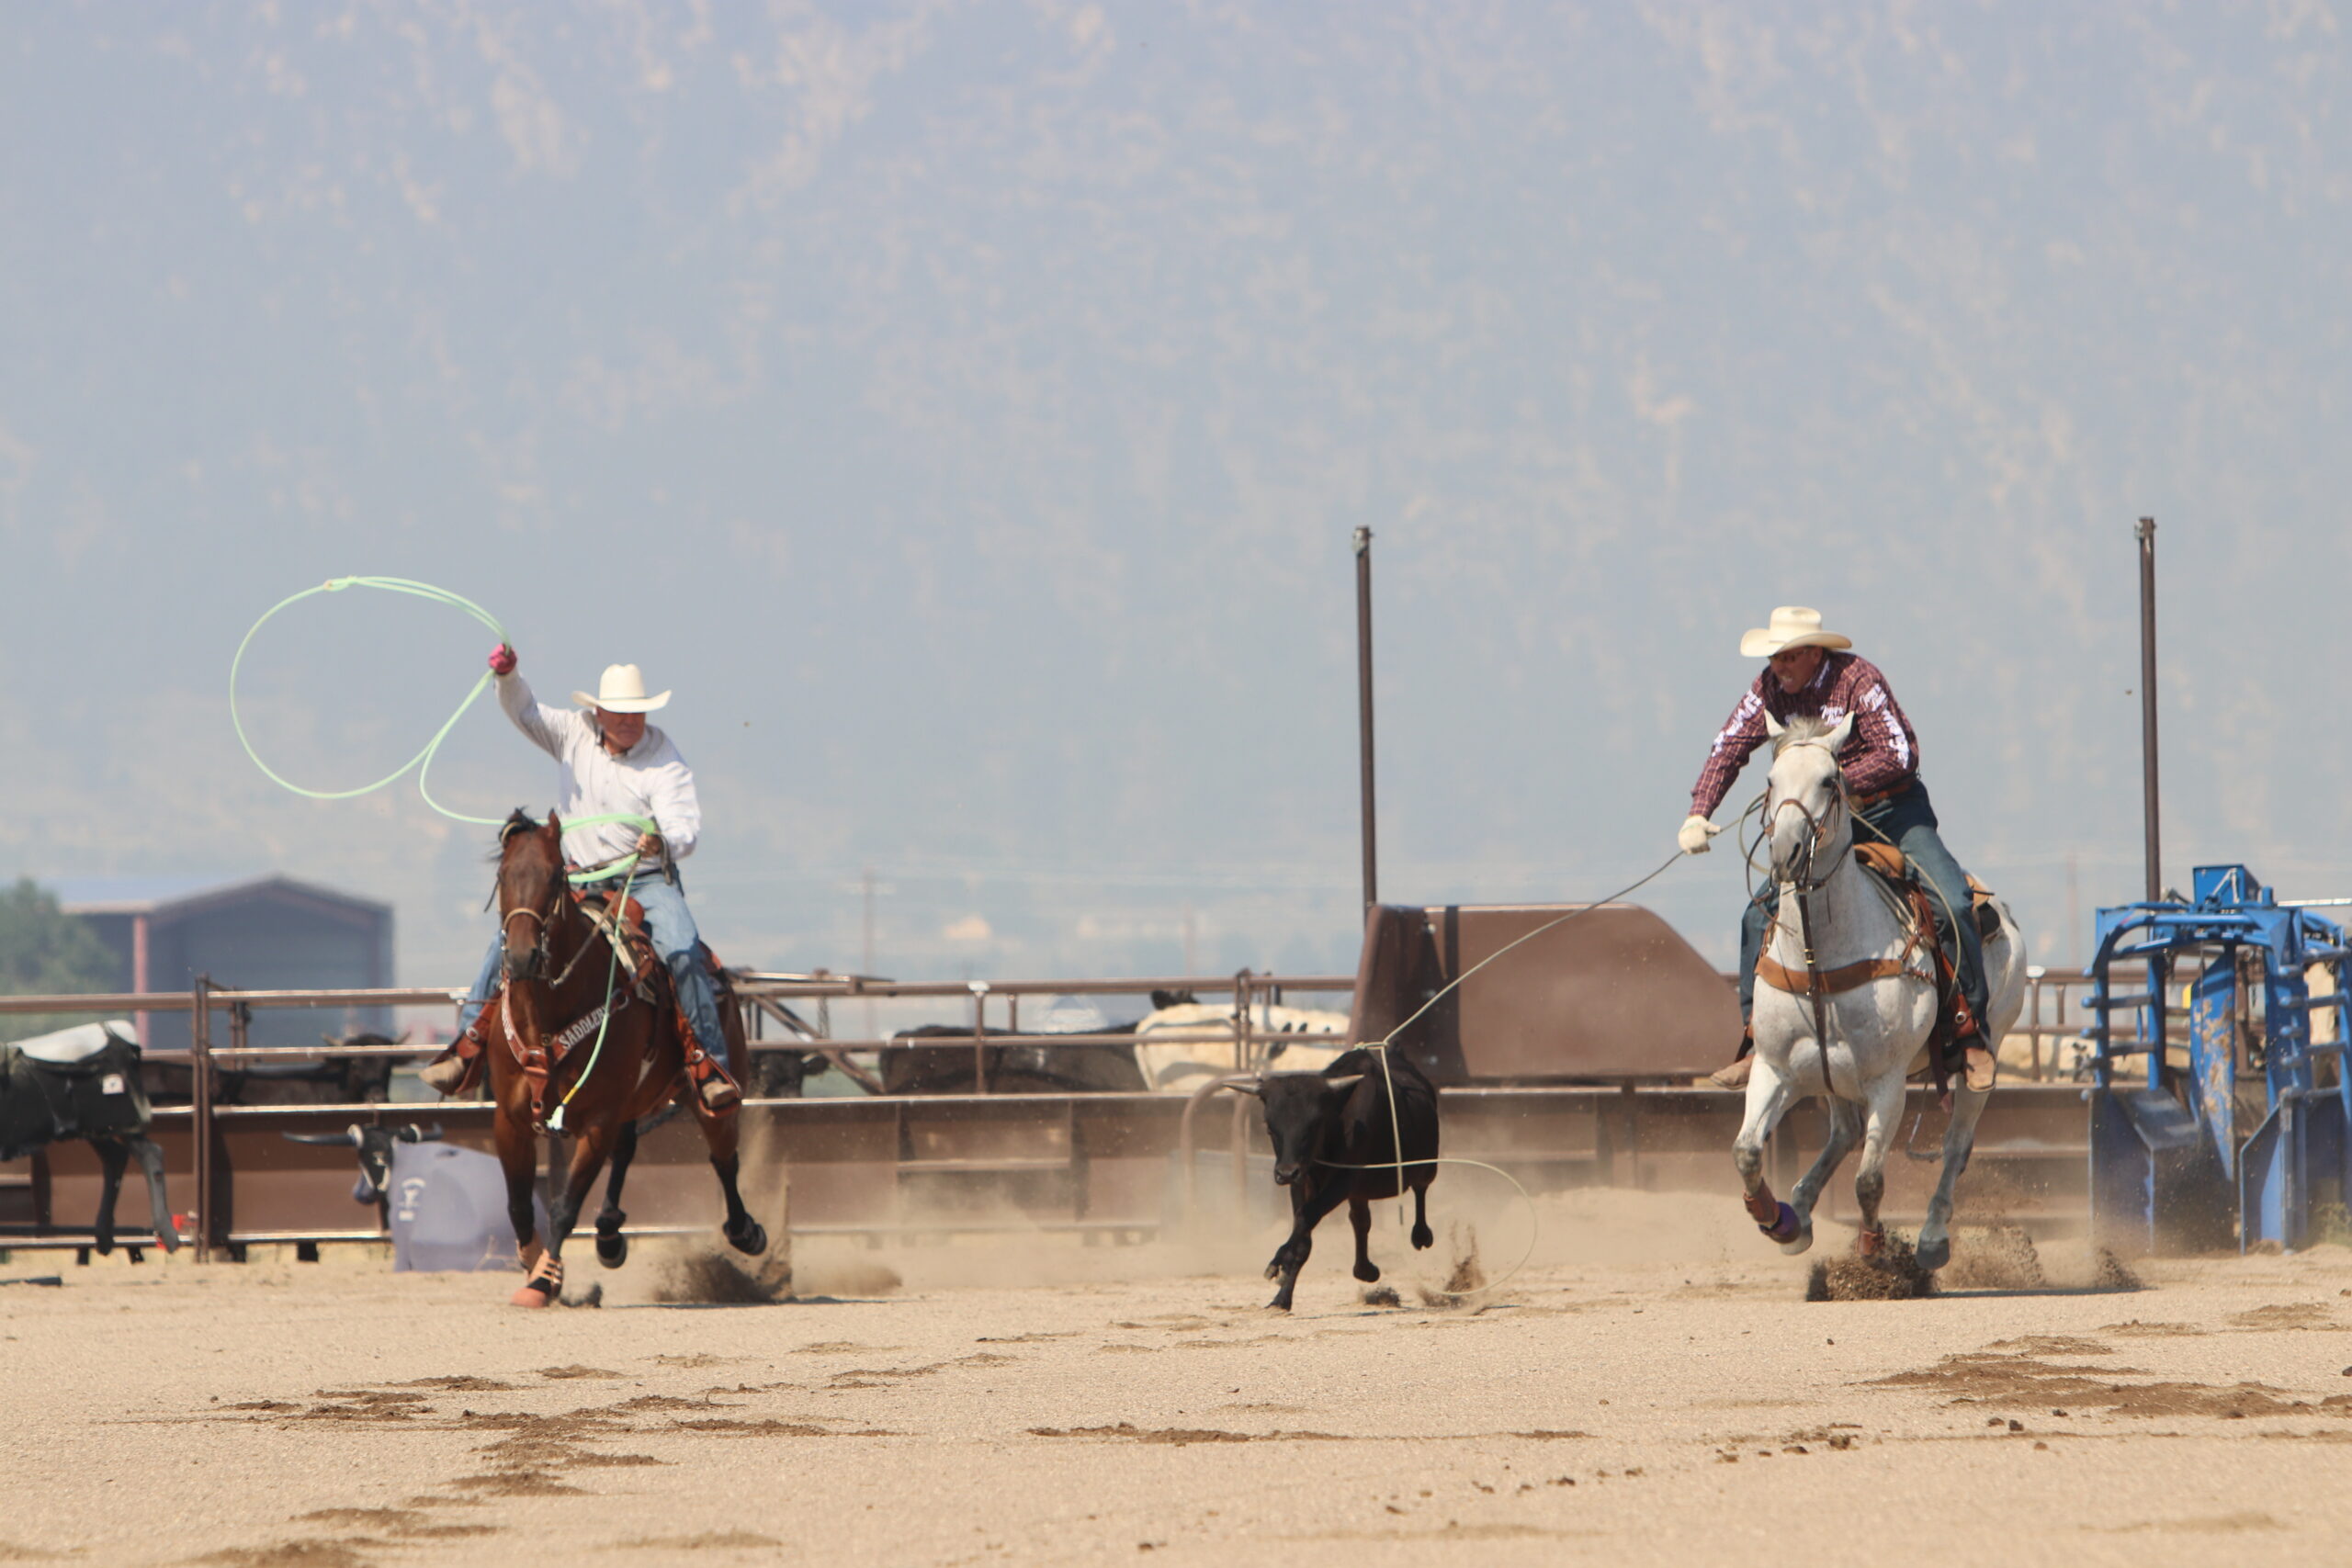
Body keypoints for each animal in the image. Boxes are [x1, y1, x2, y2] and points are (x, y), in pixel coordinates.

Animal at [492, 818, 766, 1306]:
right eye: (503, 876)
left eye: (555, 876)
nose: (522, 957)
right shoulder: (509, 1119)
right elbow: (520, 1206)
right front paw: (537, 1269)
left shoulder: (598, 1119)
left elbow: (563, 1207)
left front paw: (543, 1281)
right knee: (627, 1149)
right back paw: (607, 1235)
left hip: (710, 1092)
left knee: (724, 1158)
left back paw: (745, 1232)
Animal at [1223, 1048, 1439, 1316]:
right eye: (1270, 1127)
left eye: (1314, 1123)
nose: (1285, 1173)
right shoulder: (1303, 1181)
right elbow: (1302, 1233)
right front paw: (1281, 1297)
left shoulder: (1343, 1181)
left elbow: (1306, 1216)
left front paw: (1278, 1261)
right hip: (1360, 1192)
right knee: (1361, 1221)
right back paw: (1365, 1269)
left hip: (1426, 1166)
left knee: (1420, 1190)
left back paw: (1420, 1235)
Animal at [1721, 709, 2031, 1279]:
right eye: (1770, 781)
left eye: (1830, 780)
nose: (1785, 853)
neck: (1821, 955)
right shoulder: (1775, 1069)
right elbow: (1747, 1152)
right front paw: (1776, 1221)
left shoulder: (1887, 1081)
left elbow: (1869, 1179)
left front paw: (1873, 1249)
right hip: (1829, 1077)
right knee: (1844, 1132)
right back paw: (1799, 1210)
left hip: (1988, 1051)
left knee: (1955, 1147)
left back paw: (1931, 1239)